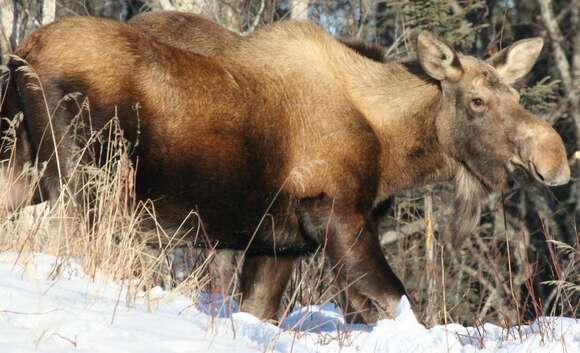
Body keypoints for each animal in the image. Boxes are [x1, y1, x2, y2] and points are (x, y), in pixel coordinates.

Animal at [0, 14, 572, 322]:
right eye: (476, 101)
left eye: (516, 95)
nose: (555, 159)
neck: (390, 144)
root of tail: (22, 51)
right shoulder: (338, 215)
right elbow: (396, 301)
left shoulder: (278, 243)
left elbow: (258, 310)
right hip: (84, 180)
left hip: (21, 168)